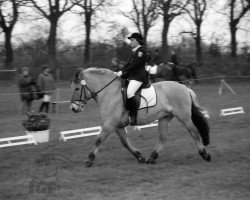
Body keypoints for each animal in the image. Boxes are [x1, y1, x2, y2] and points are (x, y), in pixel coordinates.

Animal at [70, 68, 211, 166]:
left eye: (77, 88)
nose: (73, 108)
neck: (109, 92)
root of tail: (184, 87)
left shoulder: (110, 123)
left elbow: (98, 140)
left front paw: (89, 159)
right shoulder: (117, 125)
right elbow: (125, 142)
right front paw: (139, 157)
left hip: (183, 116)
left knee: (194, 132)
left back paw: (205, 155)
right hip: (165, 117)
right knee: (162, 137)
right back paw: (151, 158)